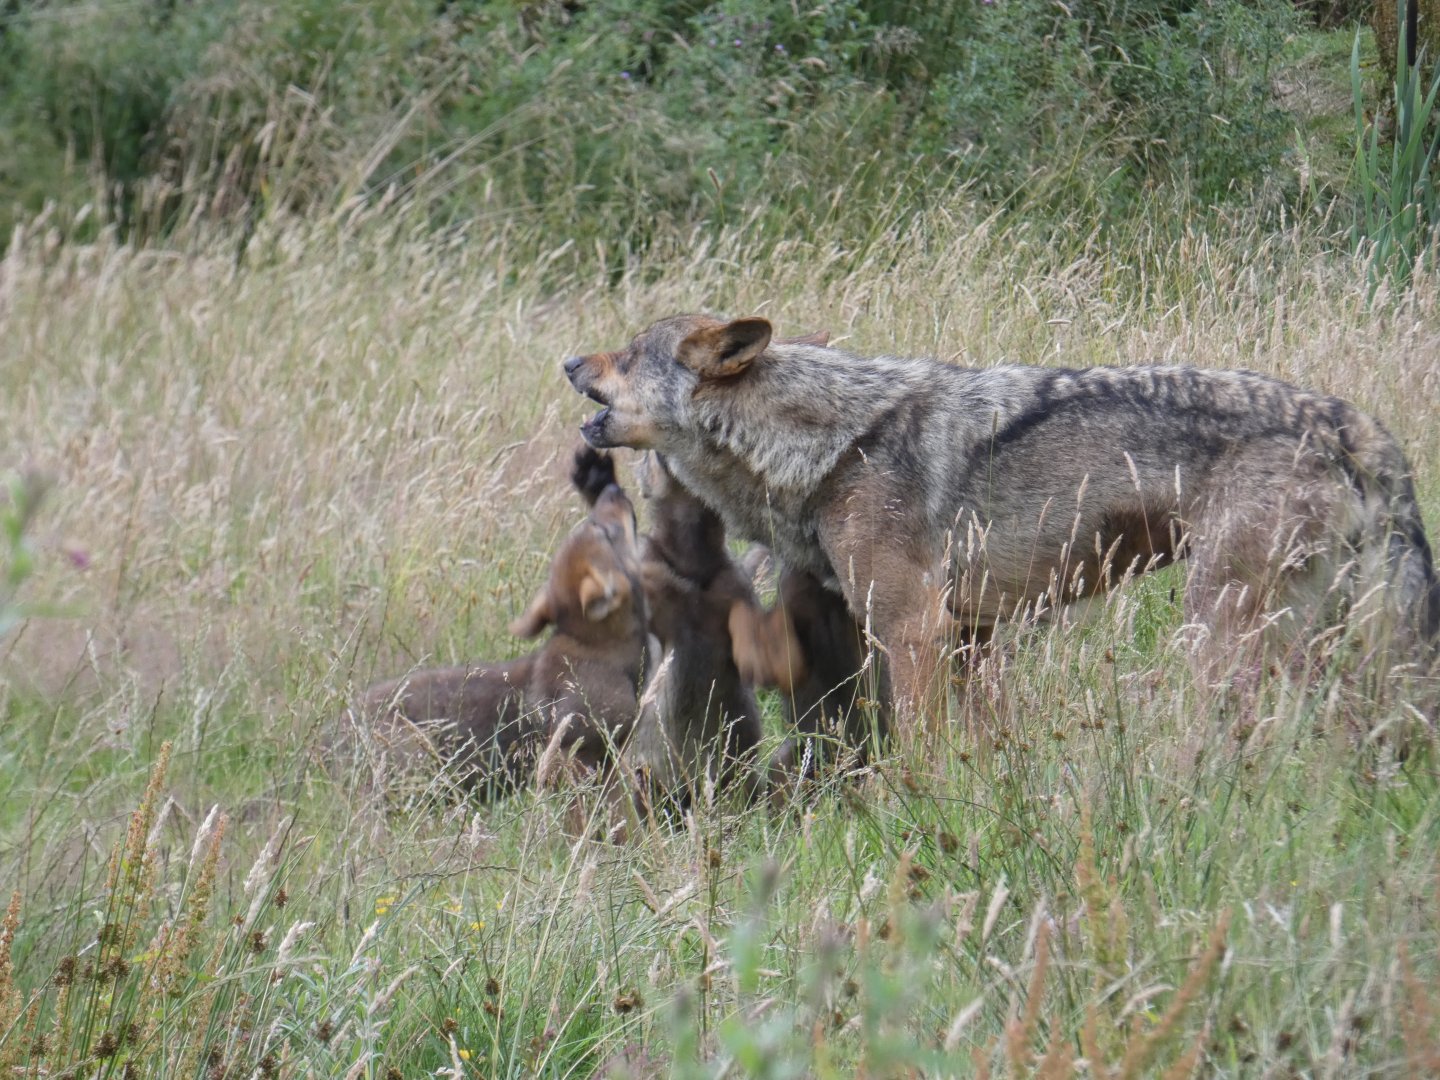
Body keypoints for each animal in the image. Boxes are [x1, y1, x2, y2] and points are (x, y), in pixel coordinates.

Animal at [564, 314, 1440, 729]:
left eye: (631, 354)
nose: (570, 361)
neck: (830, 443)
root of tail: (1355, 424)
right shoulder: (972, 639)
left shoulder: (914, 630)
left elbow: (922, 749)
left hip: (1220, 633)